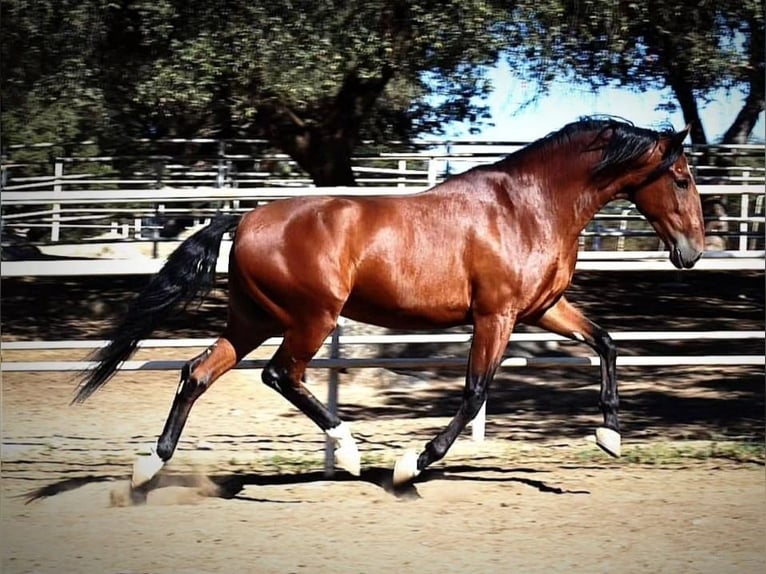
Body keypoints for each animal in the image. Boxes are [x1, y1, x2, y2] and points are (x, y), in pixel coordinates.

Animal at [75, 118, 704, 490]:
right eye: (680, 177)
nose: (692, 251)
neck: (529, 206)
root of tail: (246, 218)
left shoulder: (542, 309)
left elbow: (606, 342)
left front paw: (610, 437)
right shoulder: (495, 315)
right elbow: (475, 392)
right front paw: (410, 464)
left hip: (254, 319)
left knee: (197, 372)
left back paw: (147, 468)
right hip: (311, 318)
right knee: (281, 375)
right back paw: (350, 453)